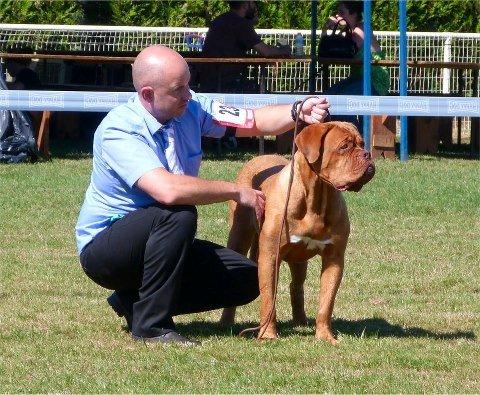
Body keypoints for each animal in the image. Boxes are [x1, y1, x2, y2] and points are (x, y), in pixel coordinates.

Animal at [221, 122, 376, 344]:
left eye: (362, 143)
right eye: (344, 147)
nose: (367, 154)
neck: (317, 198)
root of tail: (258, 157)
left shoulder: (334, 258)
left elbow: (326, 302)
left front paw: (325, 336)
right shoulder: (270, 257)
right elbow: (269, 298)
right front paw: (268, 334)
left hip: (299, 259)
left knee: (297, 285)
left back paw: (301, 321)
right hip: (239, 236)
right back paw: (226, 321)